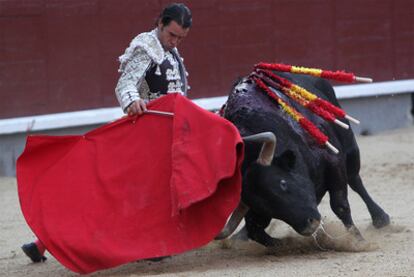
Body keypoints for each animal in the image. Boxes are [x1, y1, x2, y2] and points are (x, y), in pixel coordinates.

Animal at [217, 71, 392, 246]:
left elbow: (340, 205)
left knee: (355, 179)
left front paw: (358, 240)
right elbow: (256, 230)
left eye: (283, 183)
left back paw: (380, 218)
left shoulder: (334, 161)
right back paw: (241, 236)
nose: (310, 225)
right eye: (261, 205)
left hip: (350, 146)